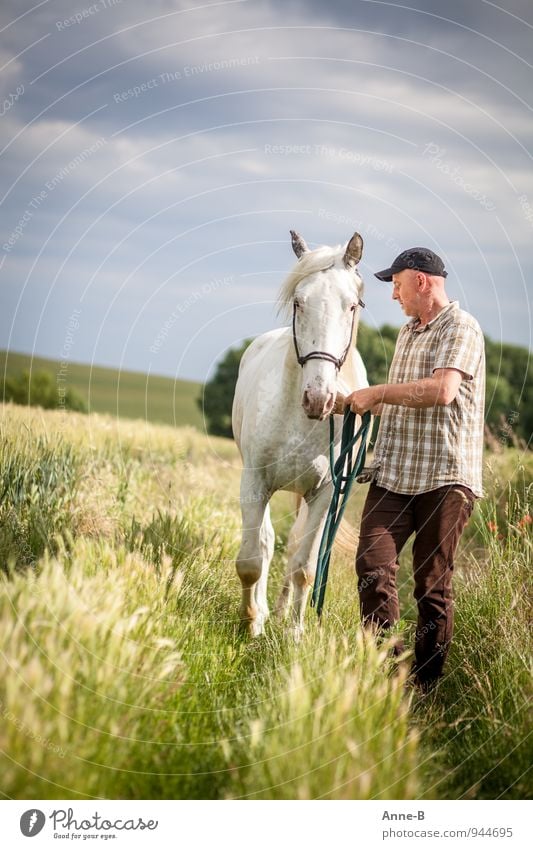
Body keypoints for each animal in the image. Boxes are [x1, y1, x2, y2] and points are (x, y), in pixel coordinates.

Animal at [233, 232, 370, 636]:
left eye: (351, 305)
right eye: (298, 302)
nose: (319, 398)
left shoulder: (325, 494)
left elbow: (304, 569)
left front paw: (294, 635)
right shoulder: (255, 484)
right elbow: (252, 559)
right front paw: (251, 625)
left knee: (294, 548)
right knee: (266, 543)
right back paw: (264, 612)